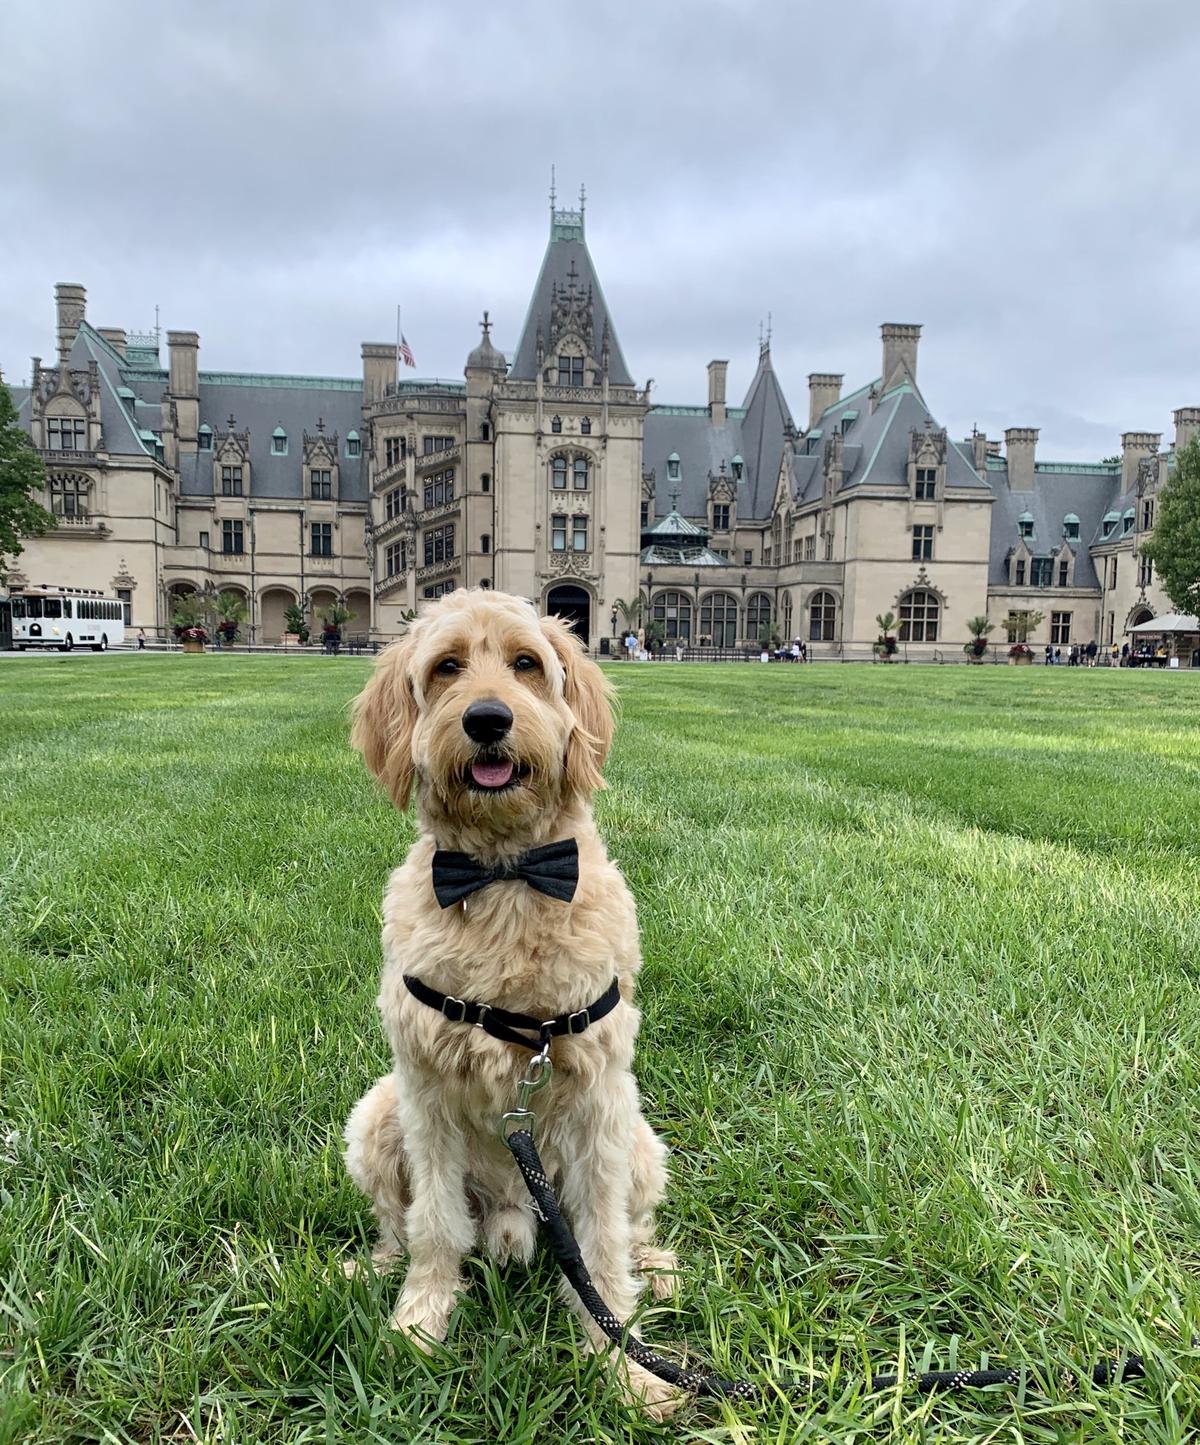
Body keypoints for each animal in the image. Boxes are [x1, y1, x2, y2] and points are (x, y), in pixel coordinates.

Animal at [346, 583, 682, 1410]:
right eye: (446, 667)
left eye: (528, 663)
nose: (487, 719)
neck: (505, 877)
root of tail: (514, 1211)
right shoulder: (426, 1093)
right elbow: (434, 1224)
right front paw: (419, 1322)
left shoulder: (597, 1098)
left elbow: (600, 1248)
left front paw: (626, 1365)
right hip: (376, 1116)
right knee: (401, 1220)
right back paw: (378, 1263)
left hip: (639, 1141)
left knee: (631, 1228)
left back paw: (655, 1268)